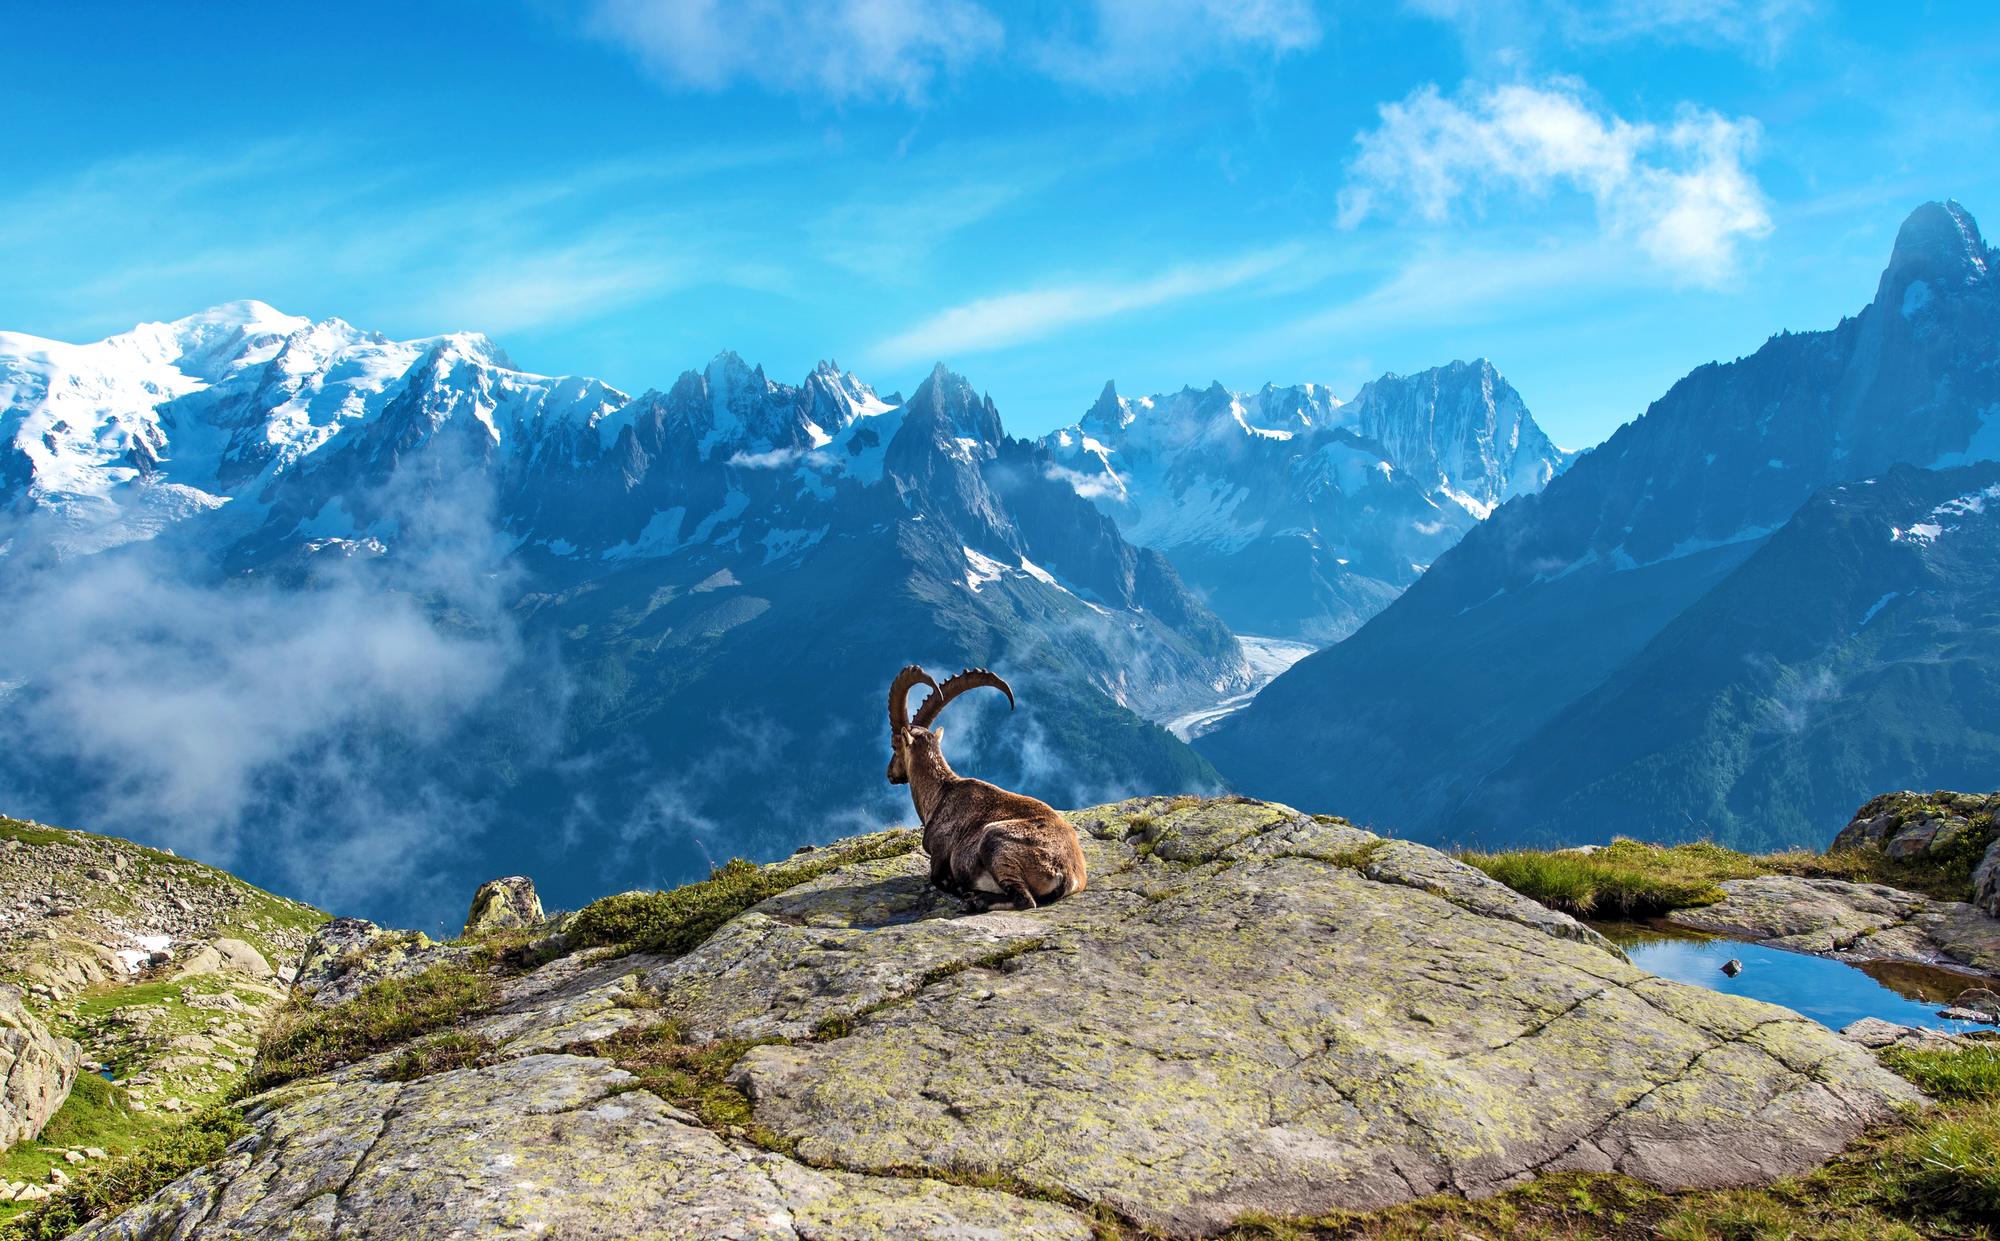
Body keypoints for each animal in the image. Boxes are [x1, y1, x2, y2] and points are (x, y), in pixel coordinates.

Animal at [886, 665, 1087, 911]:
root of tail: (1067, 873)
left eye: (895, 745)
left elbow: (938, 879)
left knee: (1025, 900)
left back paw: (976, 900)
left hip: (994, 841)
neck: (940, 793)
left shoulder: (940, 854)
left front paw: (960, 889)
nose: (890, 774)